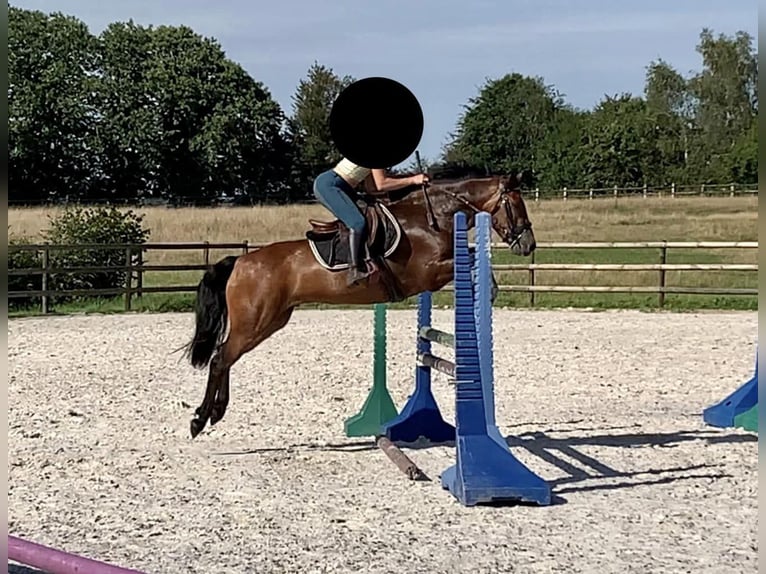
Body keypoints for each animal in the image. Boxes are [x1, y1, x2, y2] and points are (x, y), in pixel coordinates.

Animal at [183, 169, 536, 438]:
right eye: (517, 204)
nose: (528, 245)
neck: (431, 217)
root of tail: (241, 262)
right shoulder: (428, 273)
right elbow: (472, 257)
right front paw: (489, 289)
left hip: (270, 321)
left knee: (226, 358)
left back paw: (216, 412)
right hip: (254, 321)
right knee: (220, 358)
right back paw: (200, 418)